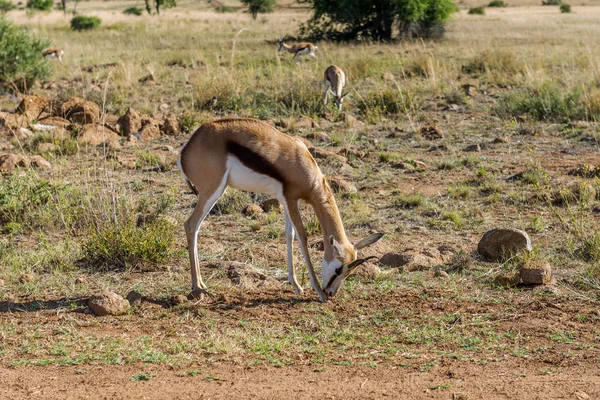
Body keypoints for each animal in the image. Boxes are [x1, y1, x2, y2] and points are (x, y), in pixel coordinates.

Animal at [178, 117, 384, 302]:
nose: (331, 293)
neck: (303, 166)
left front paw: (297, 286)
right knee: (190, 225)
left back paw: (202, 284)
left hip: (214, 193)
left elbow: (289, 236)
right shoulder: (290, 199)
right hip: (213, 191)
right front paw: (317, 291)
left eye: (349, 272)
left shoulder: (287, 203)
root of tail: (187, 147)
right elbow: (302, 237)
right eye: (339, 269)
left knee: (195, 227)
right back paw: (197, 287)